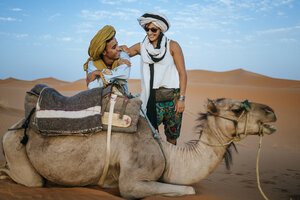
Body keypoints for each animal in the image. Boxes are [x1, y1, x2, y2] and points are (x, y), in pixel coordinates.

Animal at [0, 98, 276, 198]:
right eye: (237, 109)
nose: (272, 111)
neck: (169, 155)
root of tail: (12, 127)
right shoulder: (132, 180)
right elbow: (188, 189)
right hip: (15, 147)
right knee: (30, 180)